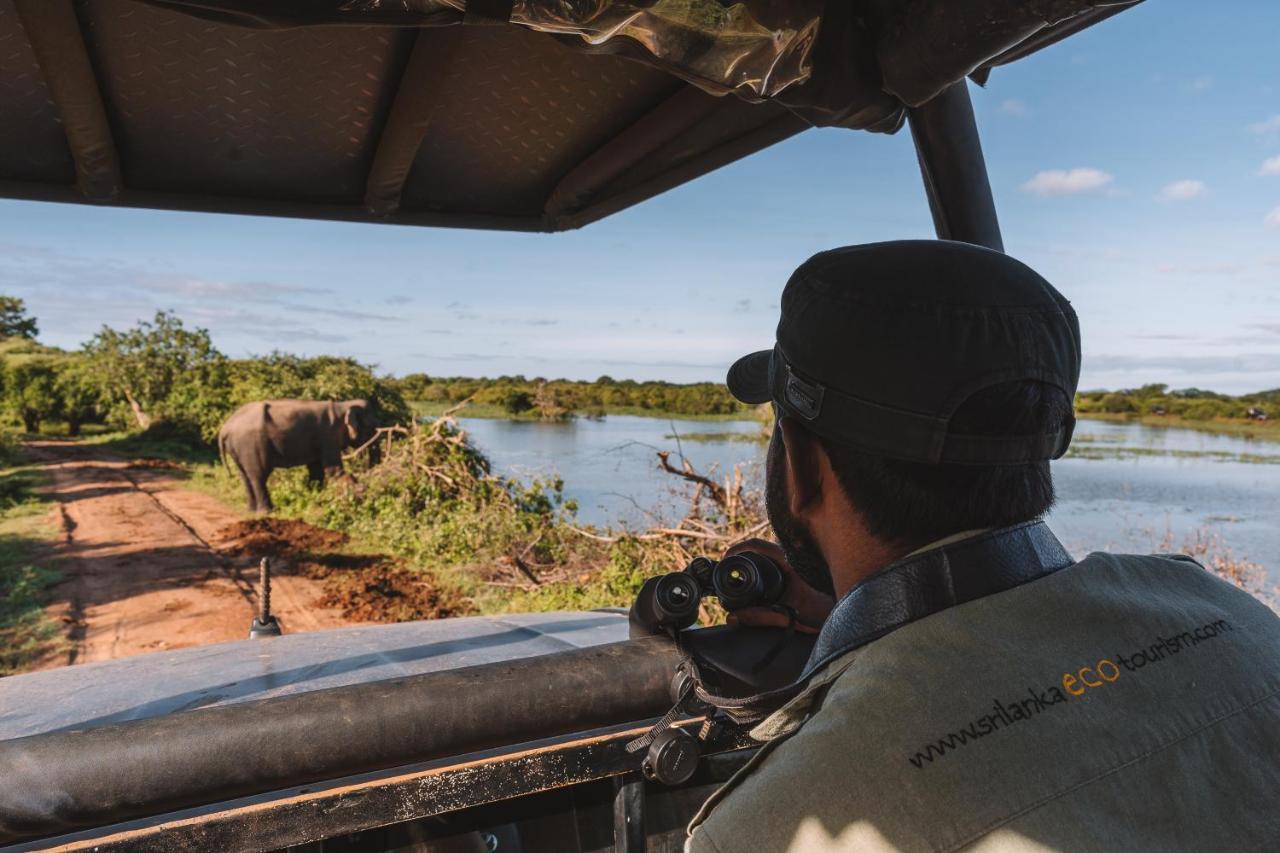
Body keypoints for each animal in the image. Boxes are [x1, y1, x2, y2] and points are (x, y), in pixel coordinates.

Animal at [213, 399, 373, 512]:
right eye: (370, 428)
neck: (342, 404)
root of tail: (224, 429)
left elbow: (316, 470)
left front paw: (315, 497)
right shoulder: (328, 435)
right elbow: (332, 469)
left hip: (237, 448)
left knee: (245, 476)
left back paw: (251, 511)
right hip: (251, 444)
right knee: (258, 476)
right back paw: (268, 512)